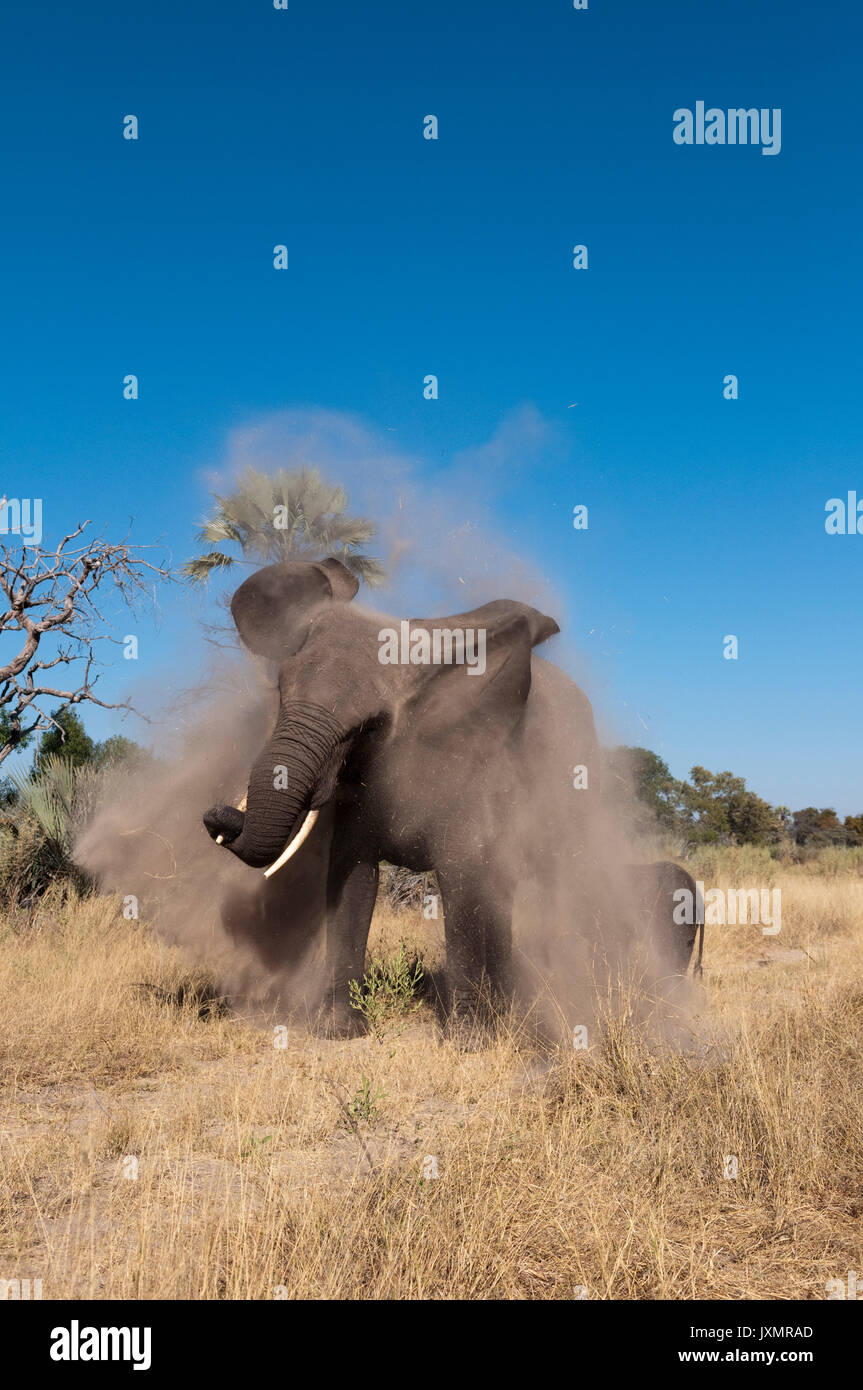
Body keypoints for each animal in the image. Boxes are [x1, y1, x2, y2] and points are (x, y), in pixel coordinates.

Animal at [204, 553, 605, 1034]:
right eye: (281, 693)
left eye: (368, 726)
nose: (218, 820)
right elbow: (351, 877)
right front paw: (339, 1031)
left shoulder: (468, 772)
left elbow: (462, 879)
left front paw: (469, 1040)